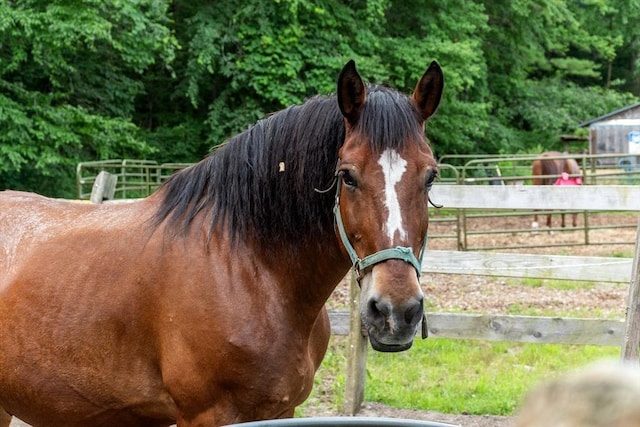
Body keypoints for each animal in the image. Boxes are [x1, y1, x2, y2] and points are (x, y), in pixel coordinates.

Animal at [0, 60, 444, 427]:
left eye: (430, 176)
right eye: (348, 176)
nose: (396, 311)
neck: (248, 268)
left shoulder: (282, 411)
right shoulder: (207, 414)